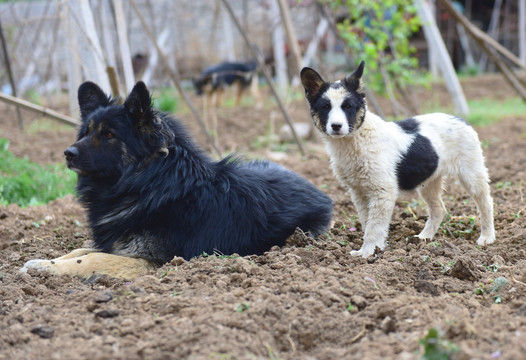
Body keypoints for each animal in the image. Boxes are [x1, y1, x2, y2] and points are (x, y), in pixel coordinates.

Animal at [22, 82, 334, 282]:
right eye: (86, 132)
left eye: (109, 135)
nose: (68, 153)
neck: (148, 183)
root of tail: (321, 192)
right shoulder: (115, 243)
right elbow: (78, 251)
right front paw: (41, 262)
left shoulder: (151, 261)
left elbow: (89, 258)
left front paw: (46, 268)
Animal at [302, 61, 496, 258]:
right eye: (325, 107)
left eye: (348, 106)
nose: (336, 126)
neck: (355, 139)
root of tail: (460, 119)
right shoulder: (358, 192)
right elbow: (366, 223)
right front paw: (368, 251)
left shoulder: (382, 191)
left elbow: (374, 227)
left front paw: (368, 252)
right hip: (429, 181)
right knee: (438, 209)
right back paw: (424, 237)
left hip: (471, 172)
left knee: (486, 202)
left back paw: (487, 237)